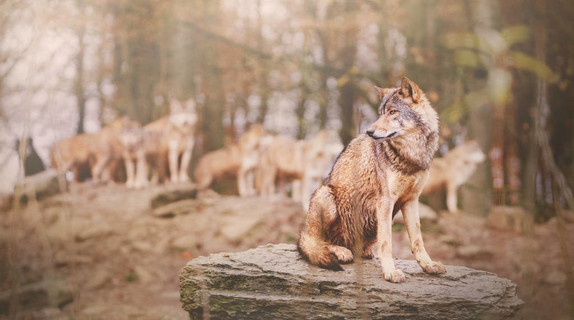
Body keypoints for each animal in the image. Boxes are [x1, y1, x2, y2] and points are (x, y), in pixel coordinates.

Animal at [300, 77, 448, 282]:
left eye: (392, 112)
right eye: (380, 114)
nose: (369, 131)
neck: (410, 156)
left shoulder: (411, 200)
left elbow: (418, 240)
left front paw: (429, 266)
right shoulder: (385, 201)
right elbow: (387, 243)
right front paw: (390, 272)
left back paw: (364, 251)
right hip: (325, 194)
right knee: (316, 243)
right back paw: (341, 251)